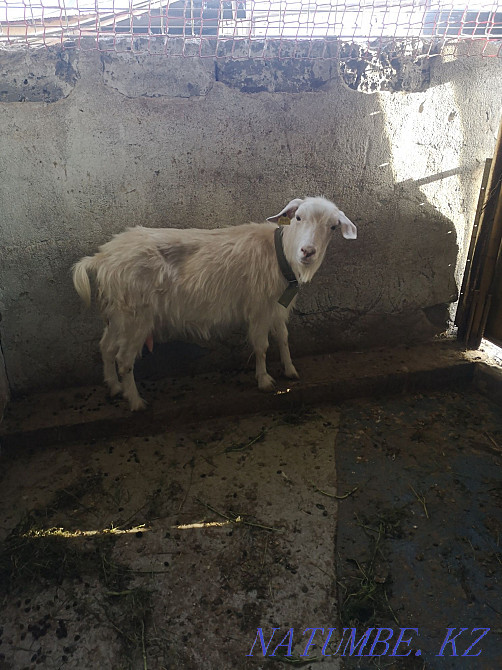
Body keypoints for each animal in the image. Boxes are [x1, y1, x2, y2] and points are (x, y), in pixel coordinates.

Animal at [72, 197, 357, 410]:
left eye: (333, 227)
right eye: (298, 218)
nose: (308, 252)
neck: (278, 254)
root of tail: (101, 258)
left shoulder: (276, 308)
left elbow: (284, 338)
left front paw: (290, 370)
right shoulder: (258, 308)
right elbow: (262, 346)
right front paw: (265, 380)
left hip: (117, 313)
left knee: (106, 347)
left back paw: (114, 387)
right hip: (135, 317)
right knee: (124, 359)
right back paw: (135, 401)